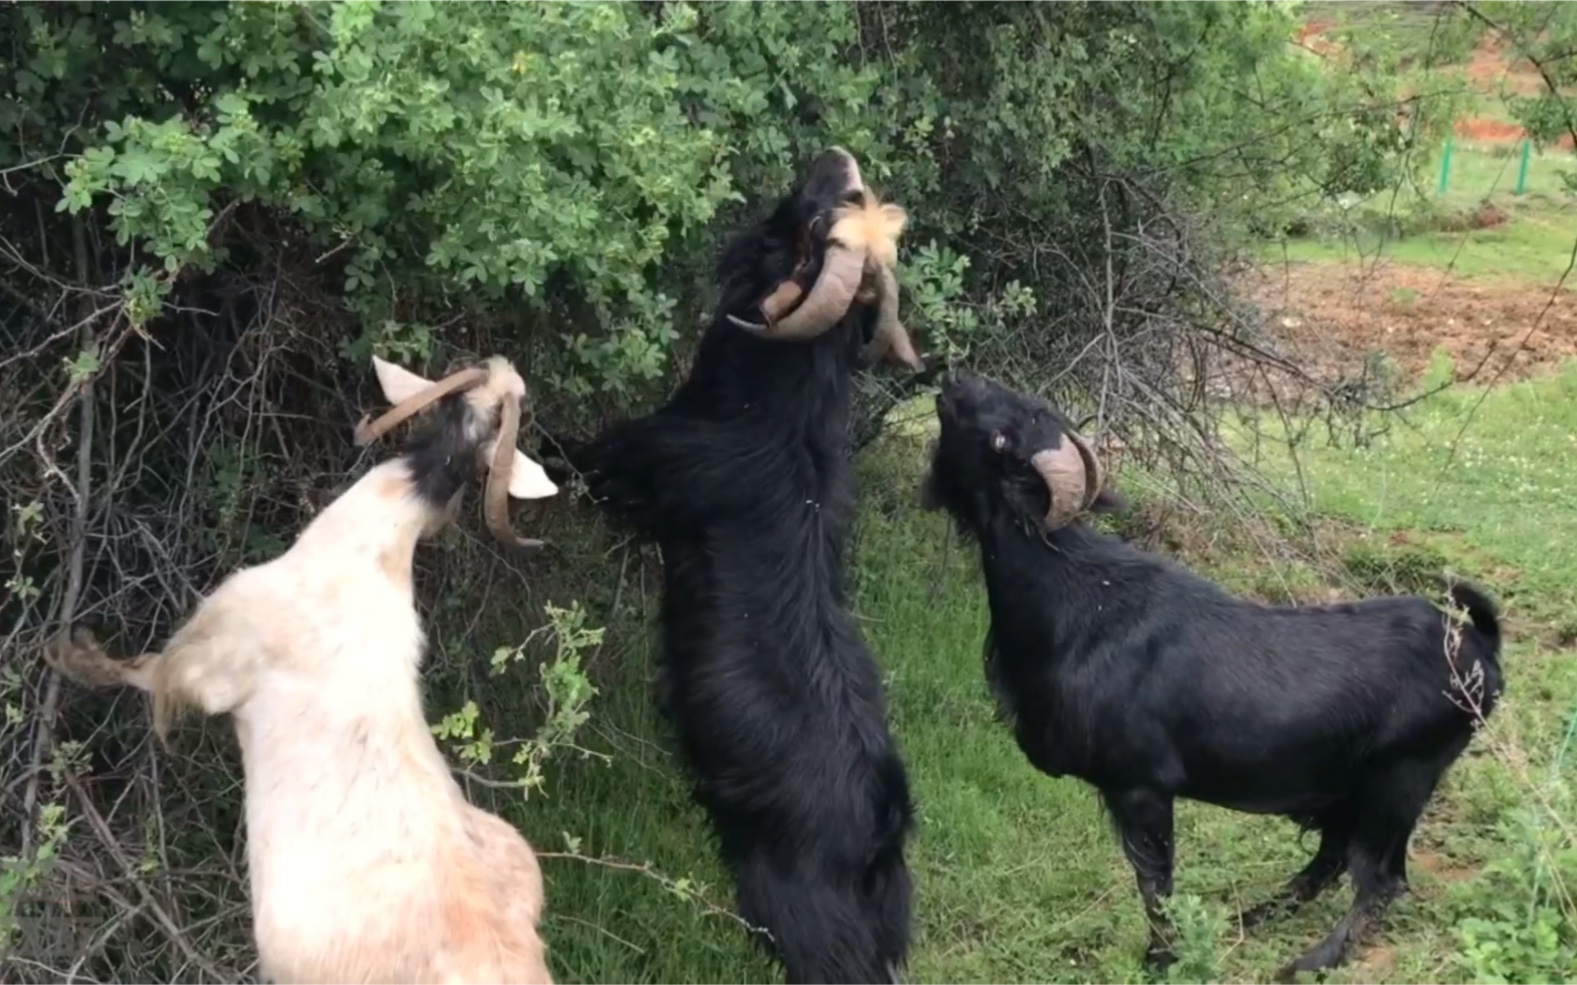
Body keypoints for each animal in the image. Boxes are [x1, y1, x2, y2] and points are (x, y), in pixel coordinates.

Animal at [920, 371, 1507, 977]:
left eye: (1001, 441)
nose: (956, 381)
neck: (1078, 595)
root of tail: (1477, 647)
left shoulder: (1141, 787)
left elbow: (1154, 882)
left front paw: (1161, 958)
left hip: (1398, 783)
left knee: (1381, 881)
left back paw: (1311, 959)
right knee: (1333, 858)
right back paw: (1260, 914)